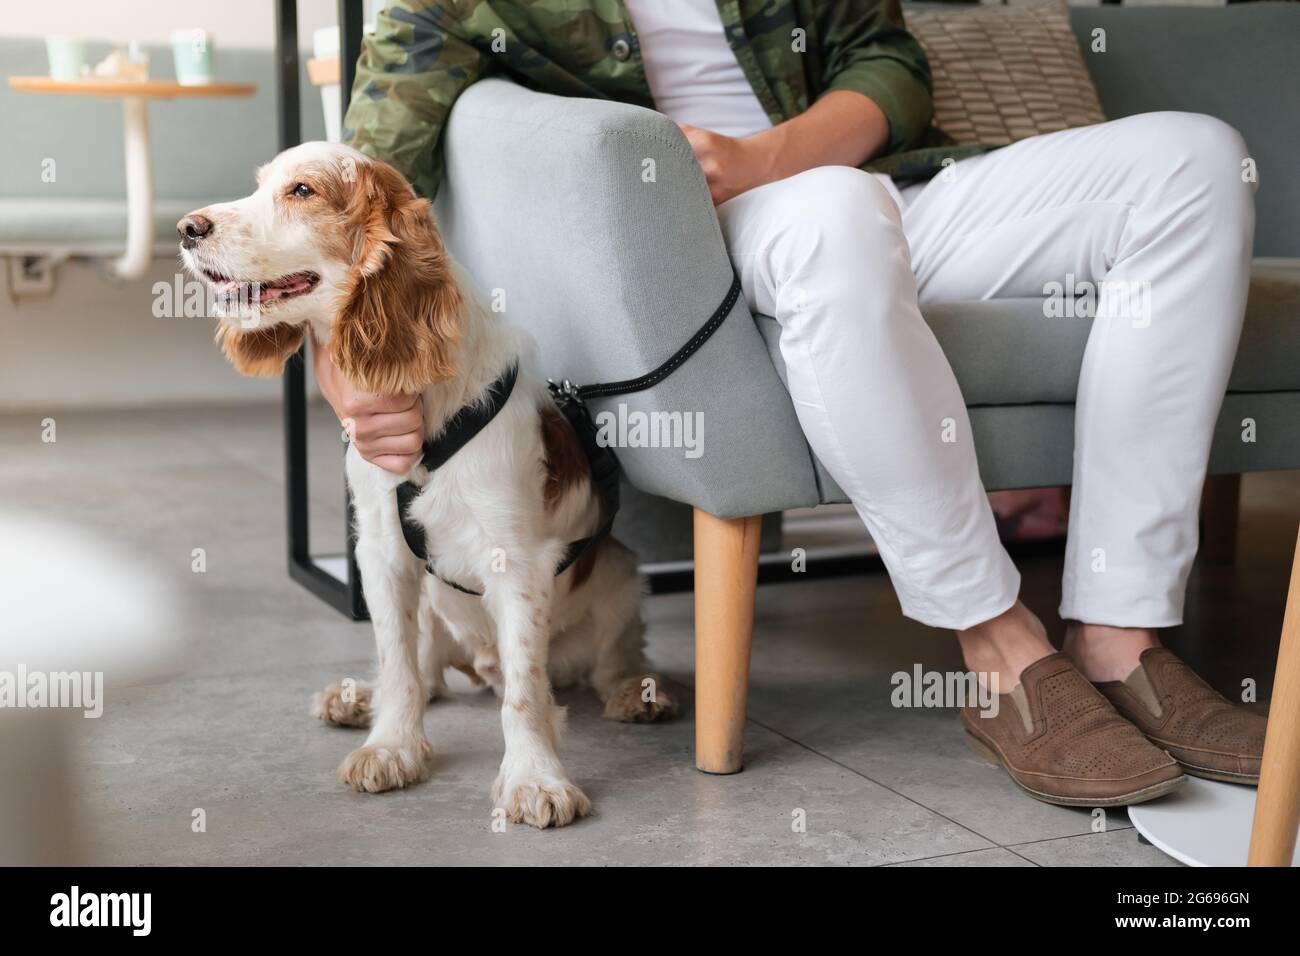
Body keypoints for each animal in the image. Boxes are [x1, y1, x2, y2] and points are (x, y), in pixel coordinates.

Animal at [180, 141, 681, 832]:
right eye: (259, 186)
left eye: (303, 191)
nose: (186, 229)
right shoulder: (381, 552)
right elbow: (399, 668)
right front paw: (393, 747)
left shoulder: (517, 563)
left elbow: (526, 693)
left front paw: (535, 779)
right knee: (430, 674)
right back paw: (356, 699)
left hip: (621, 576)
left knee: (611, 661)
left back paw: (639, 692)